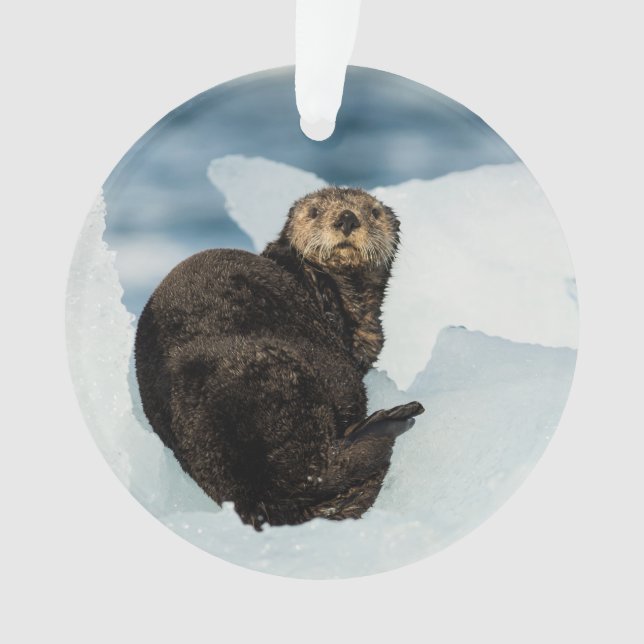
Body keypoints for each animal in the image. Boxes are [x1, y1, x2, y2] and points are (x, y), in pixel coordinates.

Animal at [135, 187, 424, 528]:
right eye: (314, 212)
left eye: (373, 212)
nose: (347, 218)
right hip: (289, 380)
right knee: (321, 467)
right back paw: (393, 419)